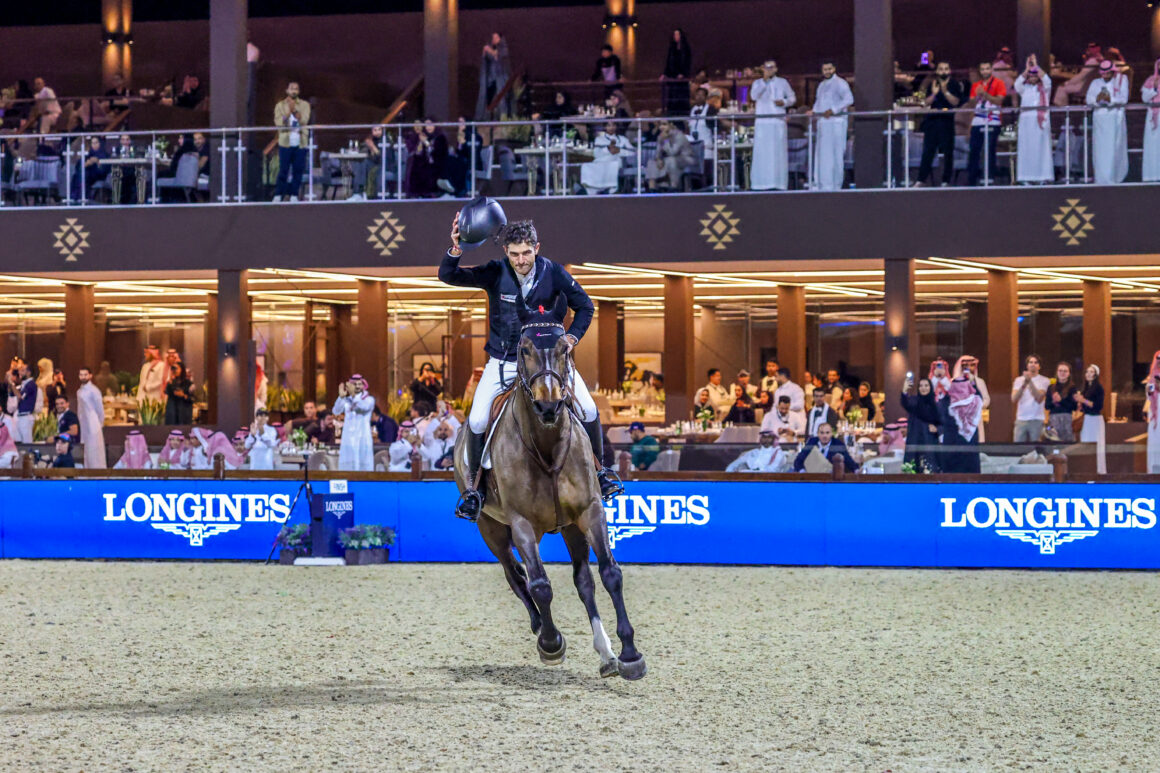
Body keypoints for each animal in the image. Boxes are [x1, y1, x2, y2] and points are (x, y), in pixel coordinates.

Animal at [452, 318, 649, 673]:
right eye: (525, 350)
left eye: (564, 350)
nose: (549, 405)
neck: (548, 449)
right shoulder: (521, 525)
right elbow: (540, 585)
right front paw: (551, 643)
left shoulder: (590, 512)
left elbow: (610, 574)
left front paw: (629, 653)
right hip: (491, 528)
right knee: (516, 576)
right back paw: (540, 627)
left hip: (569, 527)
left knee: (582, 580)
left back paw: (606, 653)